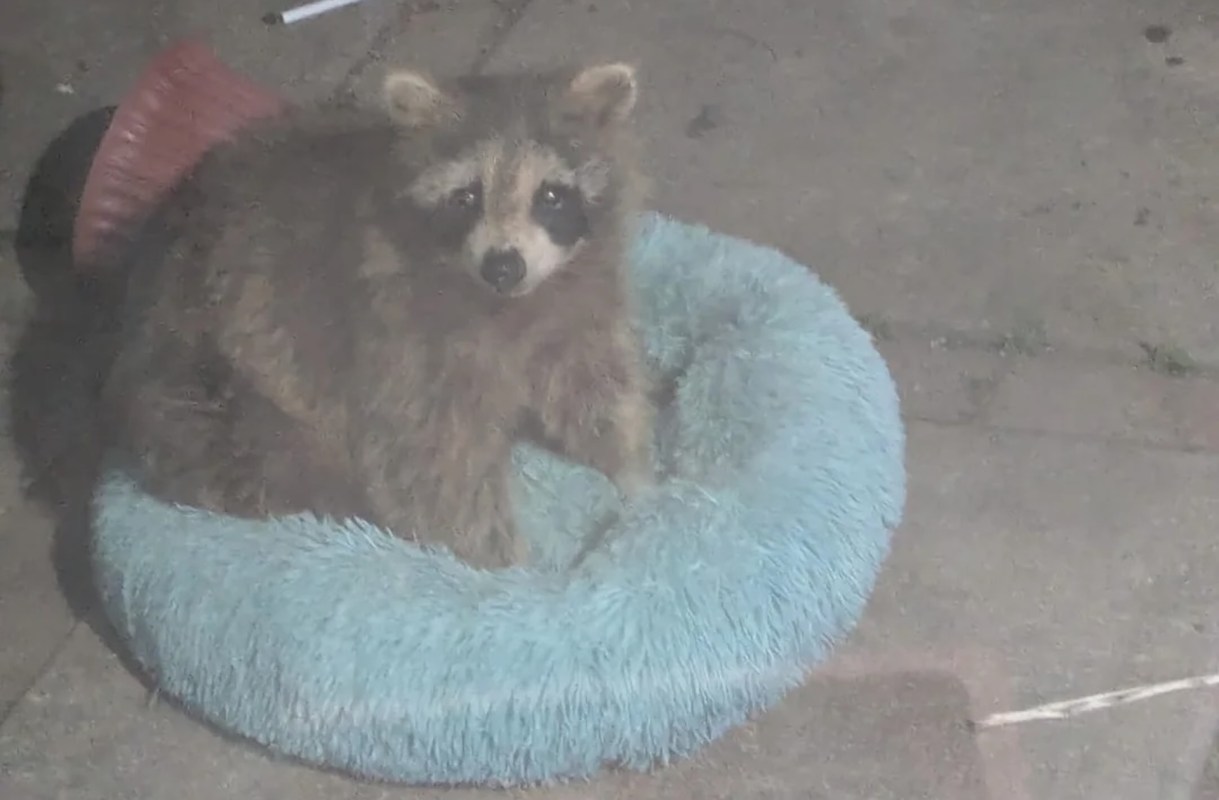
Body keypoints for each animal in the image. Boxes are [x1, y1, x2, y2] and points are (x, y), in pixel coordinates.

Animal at [100, 62, 655, 569]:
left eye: (551, 196)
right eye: (466, 197)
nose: (502, 266)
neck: (510, 302)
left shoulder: (577, 307)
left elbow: (593, 388)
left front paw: (631, 473)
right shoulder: (397, 337)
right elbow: (431, 461)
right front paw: (506, 571)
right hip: (208, 384)